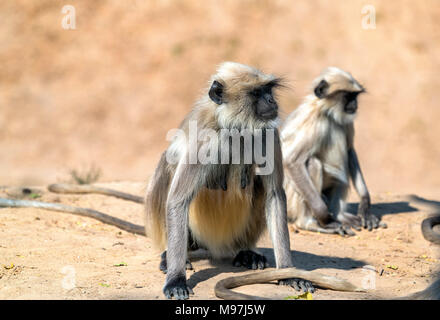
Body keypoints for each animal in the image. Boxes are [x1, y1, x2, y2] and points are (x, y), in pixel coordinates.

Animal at [280, 67, 386, 236]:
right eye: (347, 96)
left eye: (355, 95)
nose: (354, 104)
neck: (327, 112)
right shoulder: (314, 120)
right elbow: (291, 161)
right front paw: (325, 218)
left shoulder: (347, 120)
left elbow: (349, 150)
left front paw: (365, 205)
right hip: (290, 200)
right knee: (313, 163)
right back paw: (310, 223)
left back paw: (340, 216)